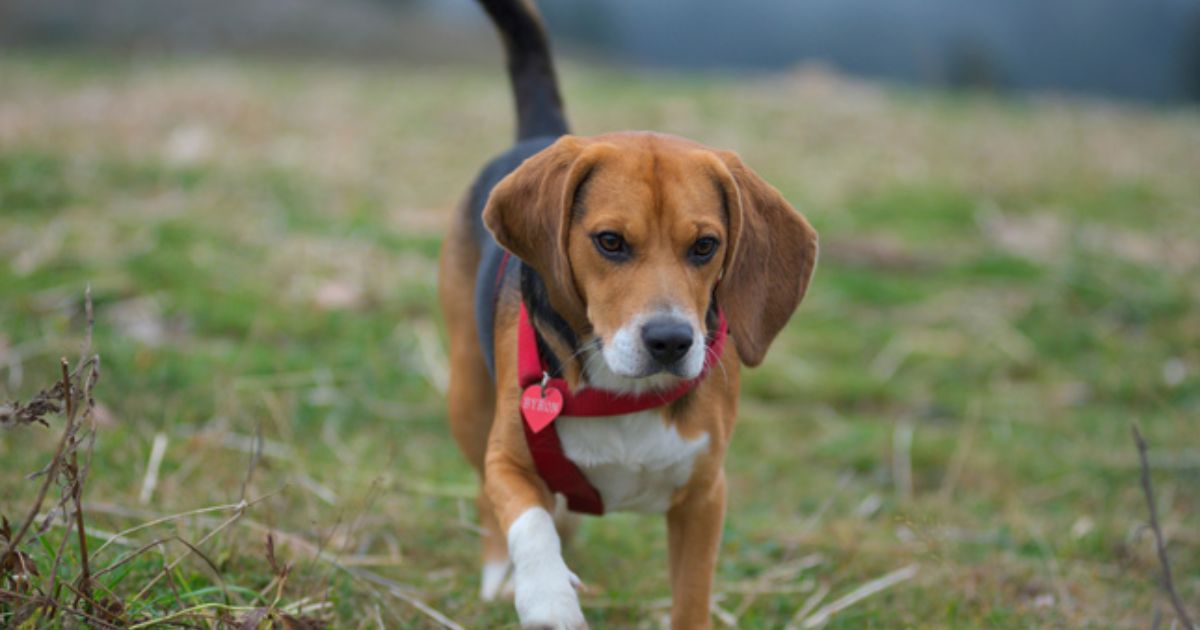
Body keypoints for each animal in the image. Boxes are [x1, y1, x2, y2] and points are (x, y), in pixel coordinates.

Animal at [436, 2, 820, 624]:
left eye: (706, 246)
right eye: (610, 242)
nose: (670, 340)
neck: (622, 392)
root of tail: (542, 134)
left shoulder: (704, 498)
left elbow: (691, 598)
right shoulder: (508, 460)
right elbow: (528, 521)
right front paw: (547, 597)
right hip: (467, 397)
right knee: (489, 500)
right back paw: (499, 576)